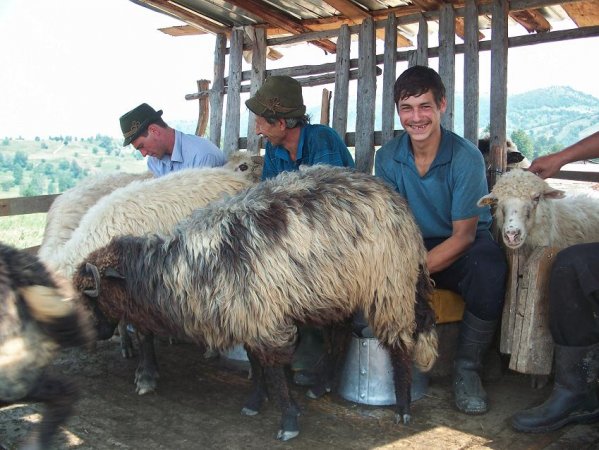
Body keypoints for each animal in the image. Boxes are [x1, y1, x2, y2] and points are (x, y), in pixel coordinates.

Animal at [72, 165, 438, 442]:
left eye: (93, 294)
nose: (97, 334)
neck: (183, 266)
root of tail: (391, 193)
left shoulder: (263, 316)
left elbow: (274, 369)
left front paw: (288, 420)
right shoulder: (247, 313)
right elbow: (257, 363)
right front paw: (256, 401)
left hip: (389, 283)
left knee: (400, 342)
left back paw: (403, 406)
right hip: (338, 289)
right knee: (340, 335)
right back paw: (321, 384)